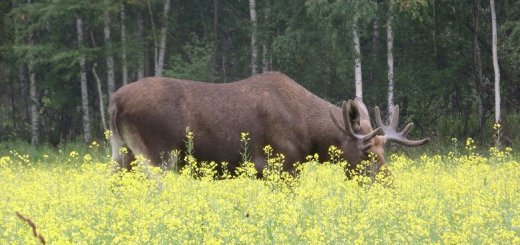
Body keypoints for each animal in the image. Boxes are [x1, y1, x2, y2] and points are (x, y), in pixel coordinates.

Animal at [107, 71, 428, 176]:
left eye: (383, 149)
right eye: (366, 152)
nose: (387, 181)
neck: (312, 137)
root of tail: (114, 101)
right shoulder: (283, 164)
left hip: (122, 154)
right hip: (157, 156)